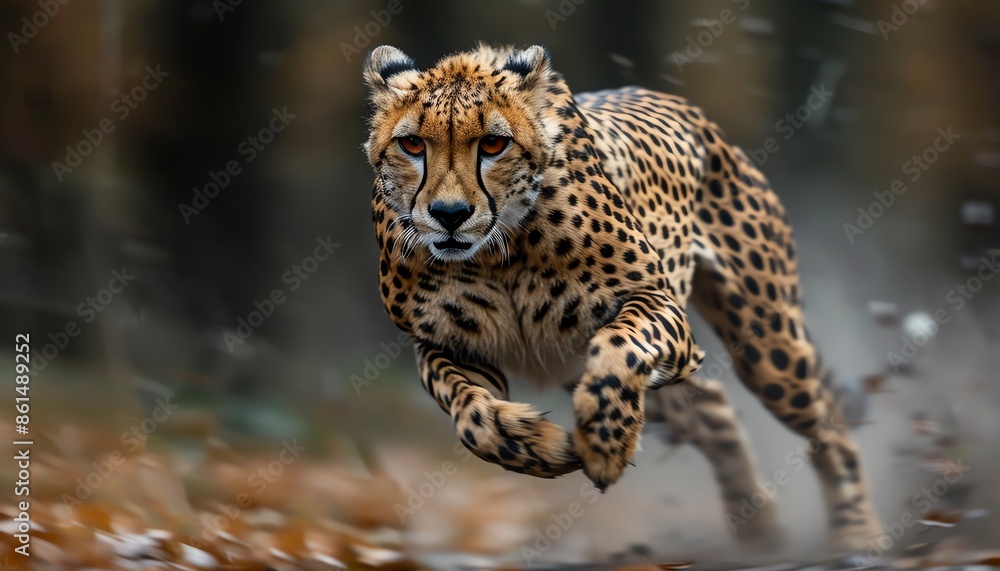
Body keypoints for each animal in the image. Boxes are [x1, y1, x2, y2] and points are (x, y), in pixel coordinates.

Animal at [362, 43, 881, 551]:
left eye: (493, 143)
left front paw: (606, 444)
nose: (449, 214)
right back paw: (757, 526)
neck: (498, 252)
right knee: (712, 404)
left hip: (767, 347)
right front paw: (533, 442)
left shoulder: (656, 304)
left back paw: (855, 536)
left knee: (829, 426)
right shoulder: (445, 345)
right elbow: (471, 414)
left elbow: (621, 346)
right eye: (412, 144)